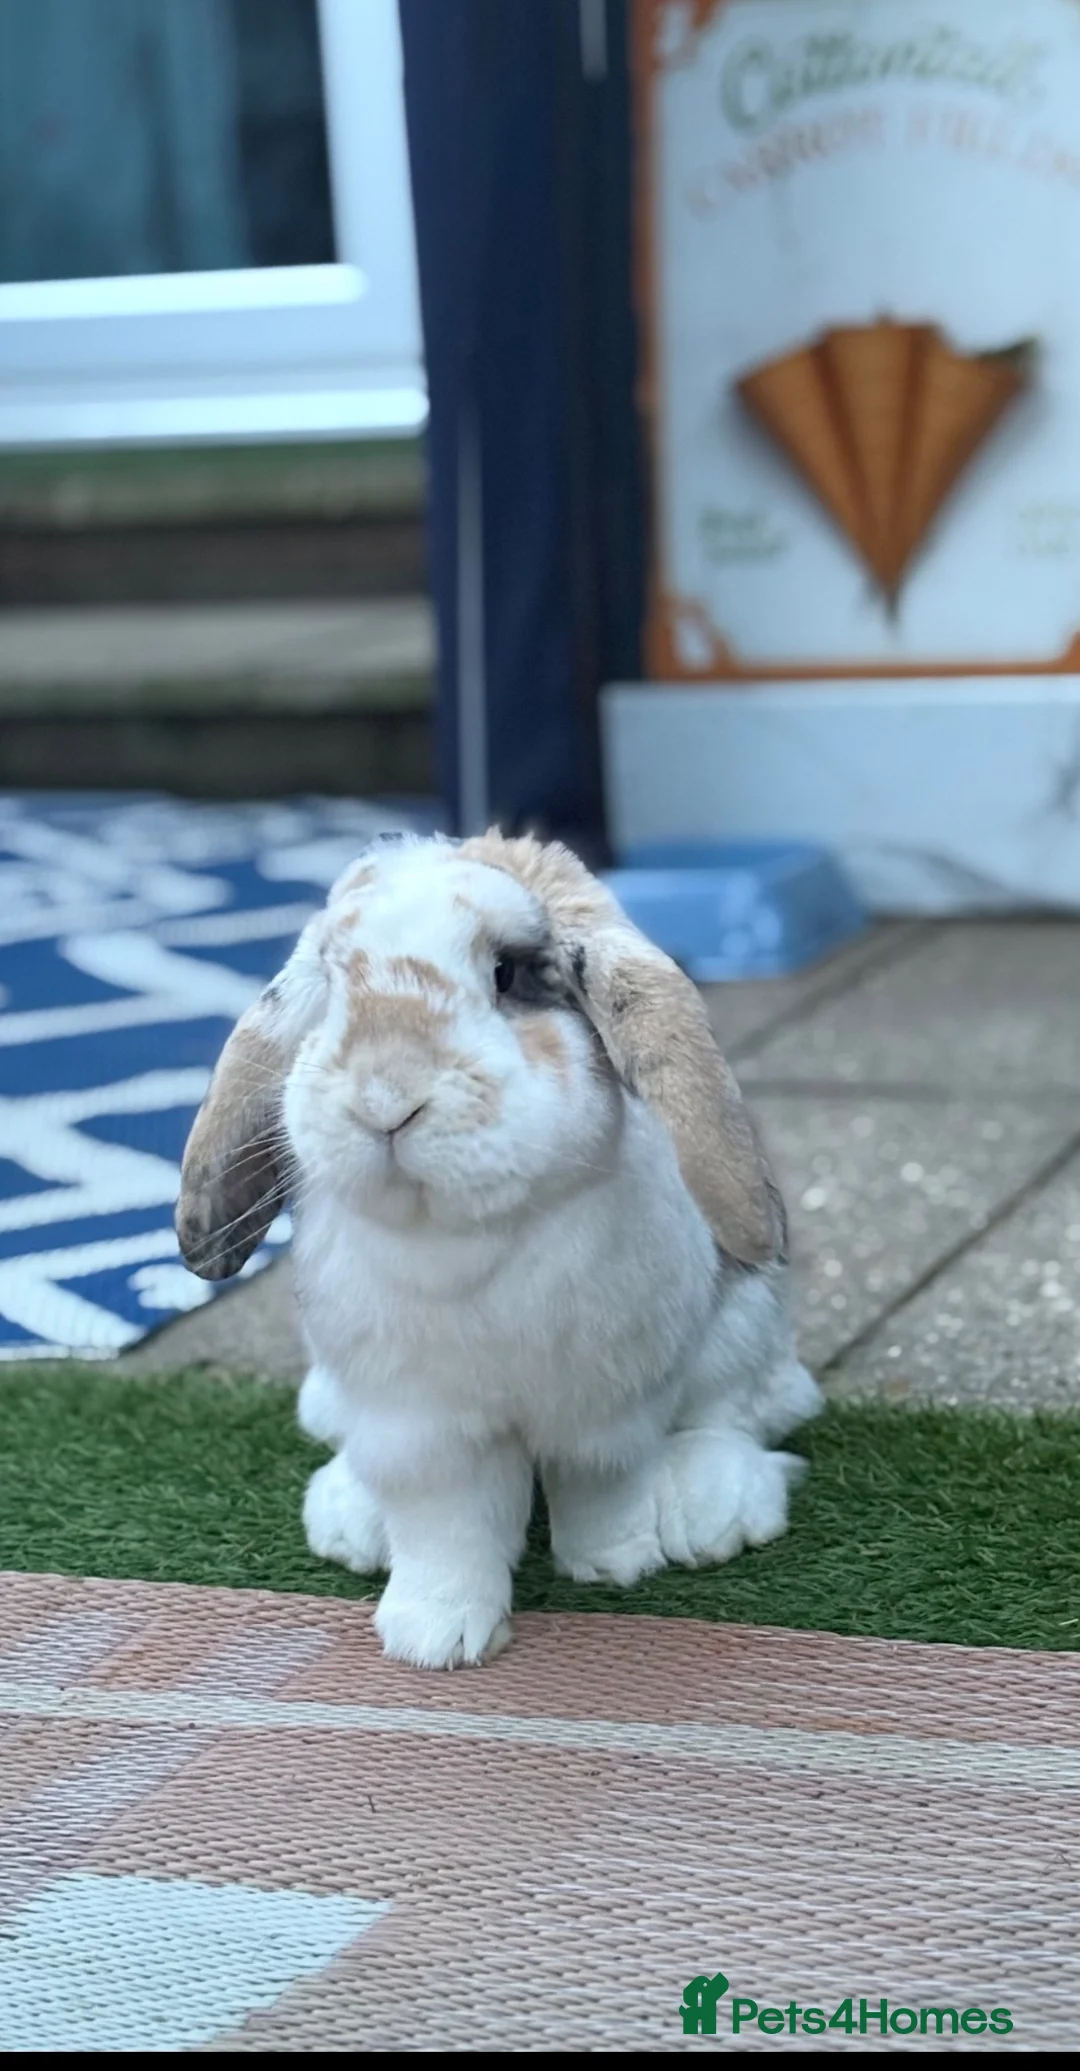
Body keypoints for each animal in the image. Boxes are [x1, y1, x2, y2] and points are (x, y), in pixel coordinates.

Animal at [176, 829, 821, 1669]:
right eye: (331, 984)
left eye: (507, 973)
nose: (385, 1100)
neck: (462, 1235)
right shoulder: (418, 1426)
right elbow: (446, 1528)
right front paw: (433, 1637)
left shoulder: (604, 1405)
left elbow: (599, 1484)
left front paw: (615, 1561)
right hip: (334, 1393)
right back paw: (354, 1522)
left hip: (742, 1332)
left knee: (741, 1413)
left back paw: (708, 1509)